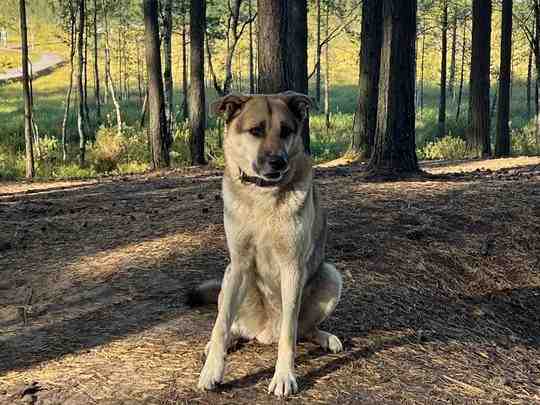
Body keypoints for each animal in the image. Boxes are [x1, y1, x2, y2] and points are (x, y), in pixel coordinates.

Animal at [190, 90, 342, 396]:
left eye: (286, 131)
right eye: (256, 130)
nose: (278, 162)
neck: (263, 195)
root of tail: (263, 334)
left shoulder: (292, 268)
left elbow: (289, 333)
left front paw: (284, 376)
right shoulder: (238, 265)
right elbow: (220, 324)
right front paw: (212, 370)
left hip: (331, 276)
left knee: (302, 329)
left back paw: (325, 337)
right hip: (229, 280)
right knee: (232, 326)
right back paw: (223, 343)